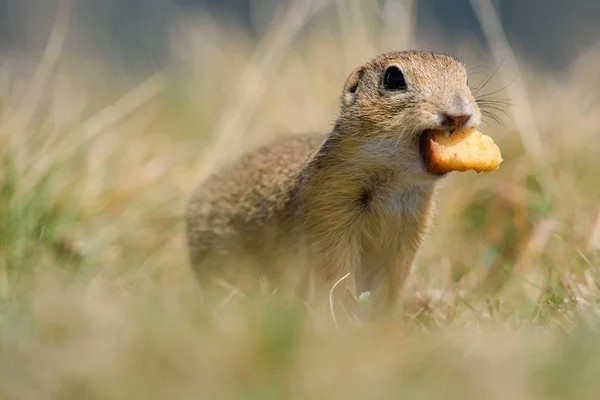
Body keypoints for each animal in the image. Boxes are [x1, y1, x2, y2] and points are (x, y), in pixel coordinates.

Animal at [188, 50, 482, 312]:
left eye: (466, 80)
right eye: (393, 78)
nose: (459, 114)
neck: (393, 185)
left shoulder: (408, 234)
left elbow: (390, 284)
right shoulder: (327, 210)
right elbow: (335, 273)